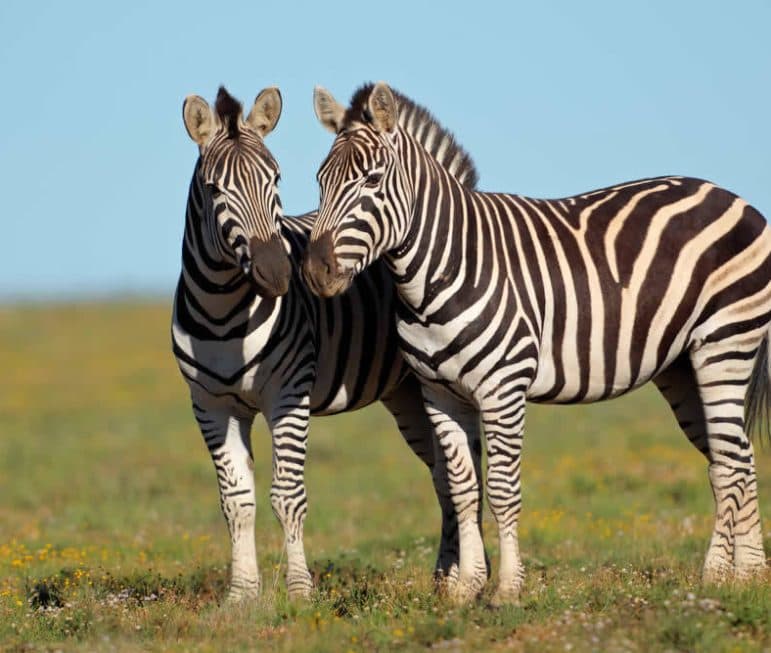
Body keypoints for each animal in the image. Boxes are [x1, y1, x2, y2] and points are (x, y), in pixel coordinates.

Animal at [172, 86, 480, 600]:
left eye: (276, 178)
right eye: (215, 190)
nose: (279, 273)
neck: (223, 312)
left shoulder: (288, 393)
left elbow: (286, 496)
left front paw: (299, 590)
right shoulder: (210, 404)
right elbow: (236, 502)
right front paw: (241, 596)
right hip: (406, 394)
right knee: (442, 475)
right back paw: (444, 576)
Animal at [303, 82, 770, 605]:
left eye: (372, 181)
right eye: (321, 182)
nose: (315, 272)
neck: (442, 267)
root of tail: (732, 196)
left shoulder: (502, 388)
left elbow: (503, 489)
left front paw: (507, 589)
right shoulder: (439, 393)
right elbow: (463, 488)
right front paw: (465, 589)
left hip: (725, 343)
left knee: (728, 462)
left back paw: (716, 576)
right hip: (682, 366)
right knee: (738, 454)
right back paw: (750, 576)